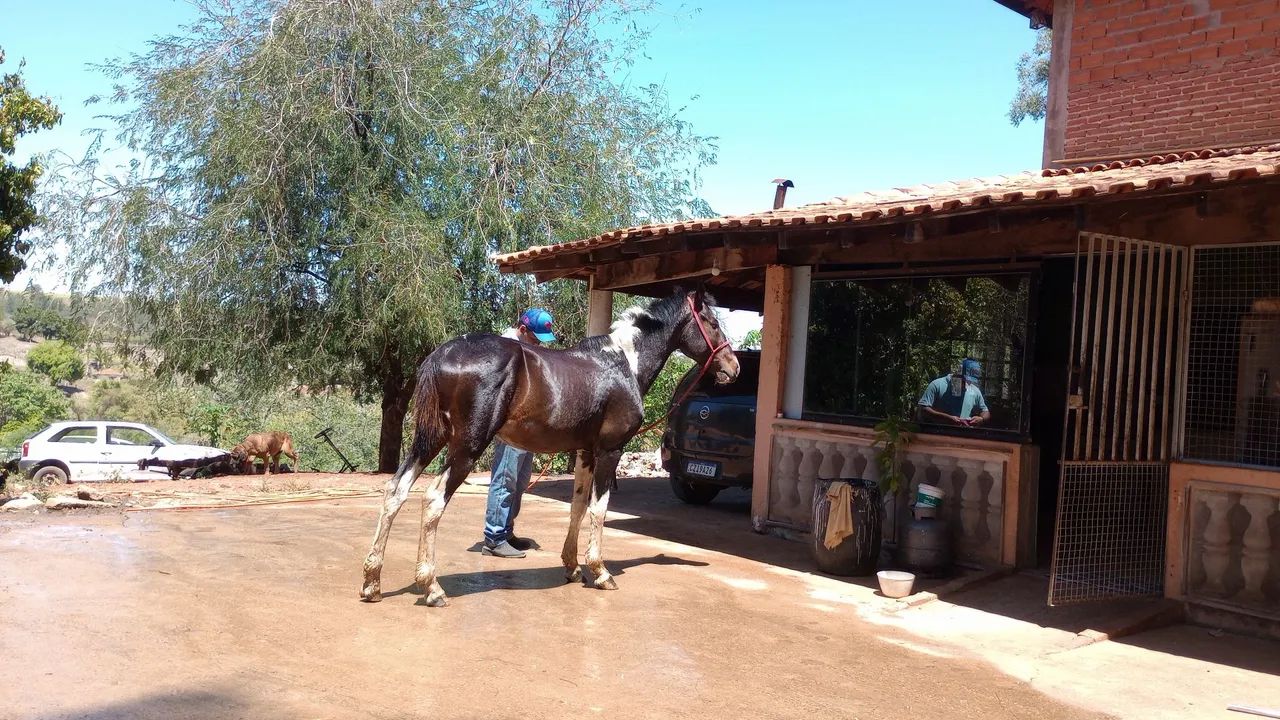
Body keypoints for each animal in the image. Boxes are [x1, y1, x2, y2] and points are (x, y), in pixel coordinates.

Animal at [359, 288, 740, 607]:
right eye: (711, 322)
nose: (733, 367)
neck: (623, 363)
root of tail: (442, 352)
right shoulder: (610, 450)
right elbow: (599, 509)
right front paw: (600, 572)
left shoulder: (584, 453)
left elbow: (577, 507)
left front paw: (572, 566)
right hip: (466, 447)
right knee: (433, 500)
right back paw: (432, 588)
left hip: (431, 439)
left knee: (395, 491)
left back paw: (372, 582)